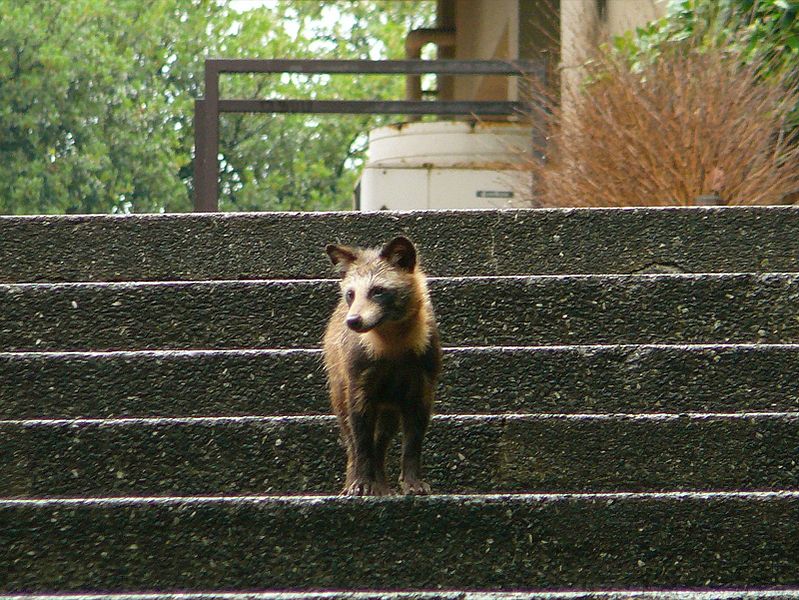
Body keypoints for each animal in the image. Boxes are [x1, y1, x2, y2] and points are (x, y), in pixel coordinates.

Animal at [322, 236, 440, 496]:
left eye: (378, 291)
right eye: (350, 294)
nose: (353, 321)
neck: (393, 349)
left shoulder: (423, 381)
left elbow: (413, 439)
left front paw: (413, 482)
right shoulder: (359, 381)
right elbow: (361, 440)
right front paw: (361, 483)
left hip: (389, 407)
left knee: (381, 441)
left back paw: (382, 485)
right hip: (338, 386)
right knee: (351, 439)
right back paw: (354, 482)